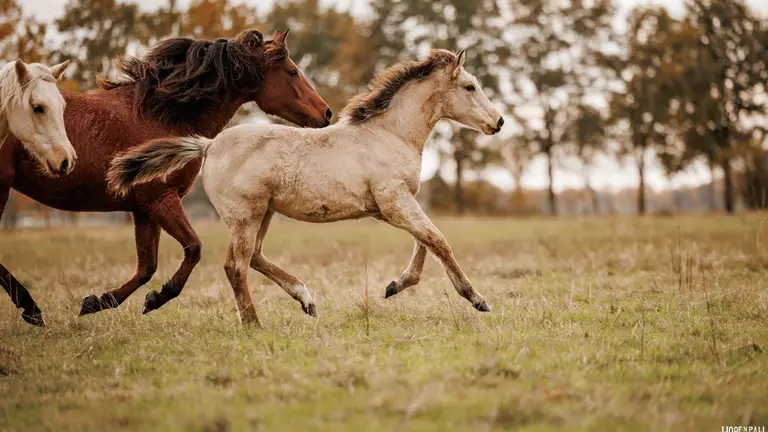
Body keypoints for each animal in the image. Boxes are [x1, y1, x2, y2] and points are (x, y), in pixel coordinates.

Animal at [0, 29, 331, 327]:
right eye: (292, 71)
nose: (326, 113)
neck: (159, 115)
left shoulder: (143, 210)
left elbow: (146, 267)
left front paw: (97, 302)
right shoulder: (161, 199)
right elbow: (194, 249)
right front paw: (156, 298)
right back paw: (30, 308)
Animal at [108, 49, 504, 326]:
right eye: (469, 86)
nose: (498, 122)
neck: (389, 133)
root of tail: (209, 145)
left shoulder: (402, 202)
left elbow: (426, 242)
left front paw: (395, 285)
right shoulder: (394, 203)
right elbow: (438, 241)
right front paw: (478, 299)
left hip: (264, 213)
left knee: (254, 257)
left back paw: (306, 300)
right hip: (246, 216)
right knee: (236, 265)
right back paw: (253, 323)